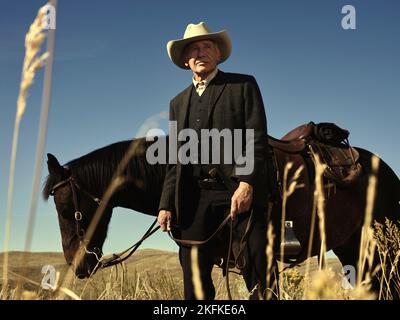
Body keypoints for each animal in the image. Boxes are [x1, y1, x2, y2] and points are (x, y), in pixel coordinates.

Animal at [43, 129, 400, 298]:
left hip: (381, 249)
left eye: (66, 208)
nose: (77, 264)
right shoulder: (198, 259)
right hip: (354, 249)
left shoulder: (257, 263)